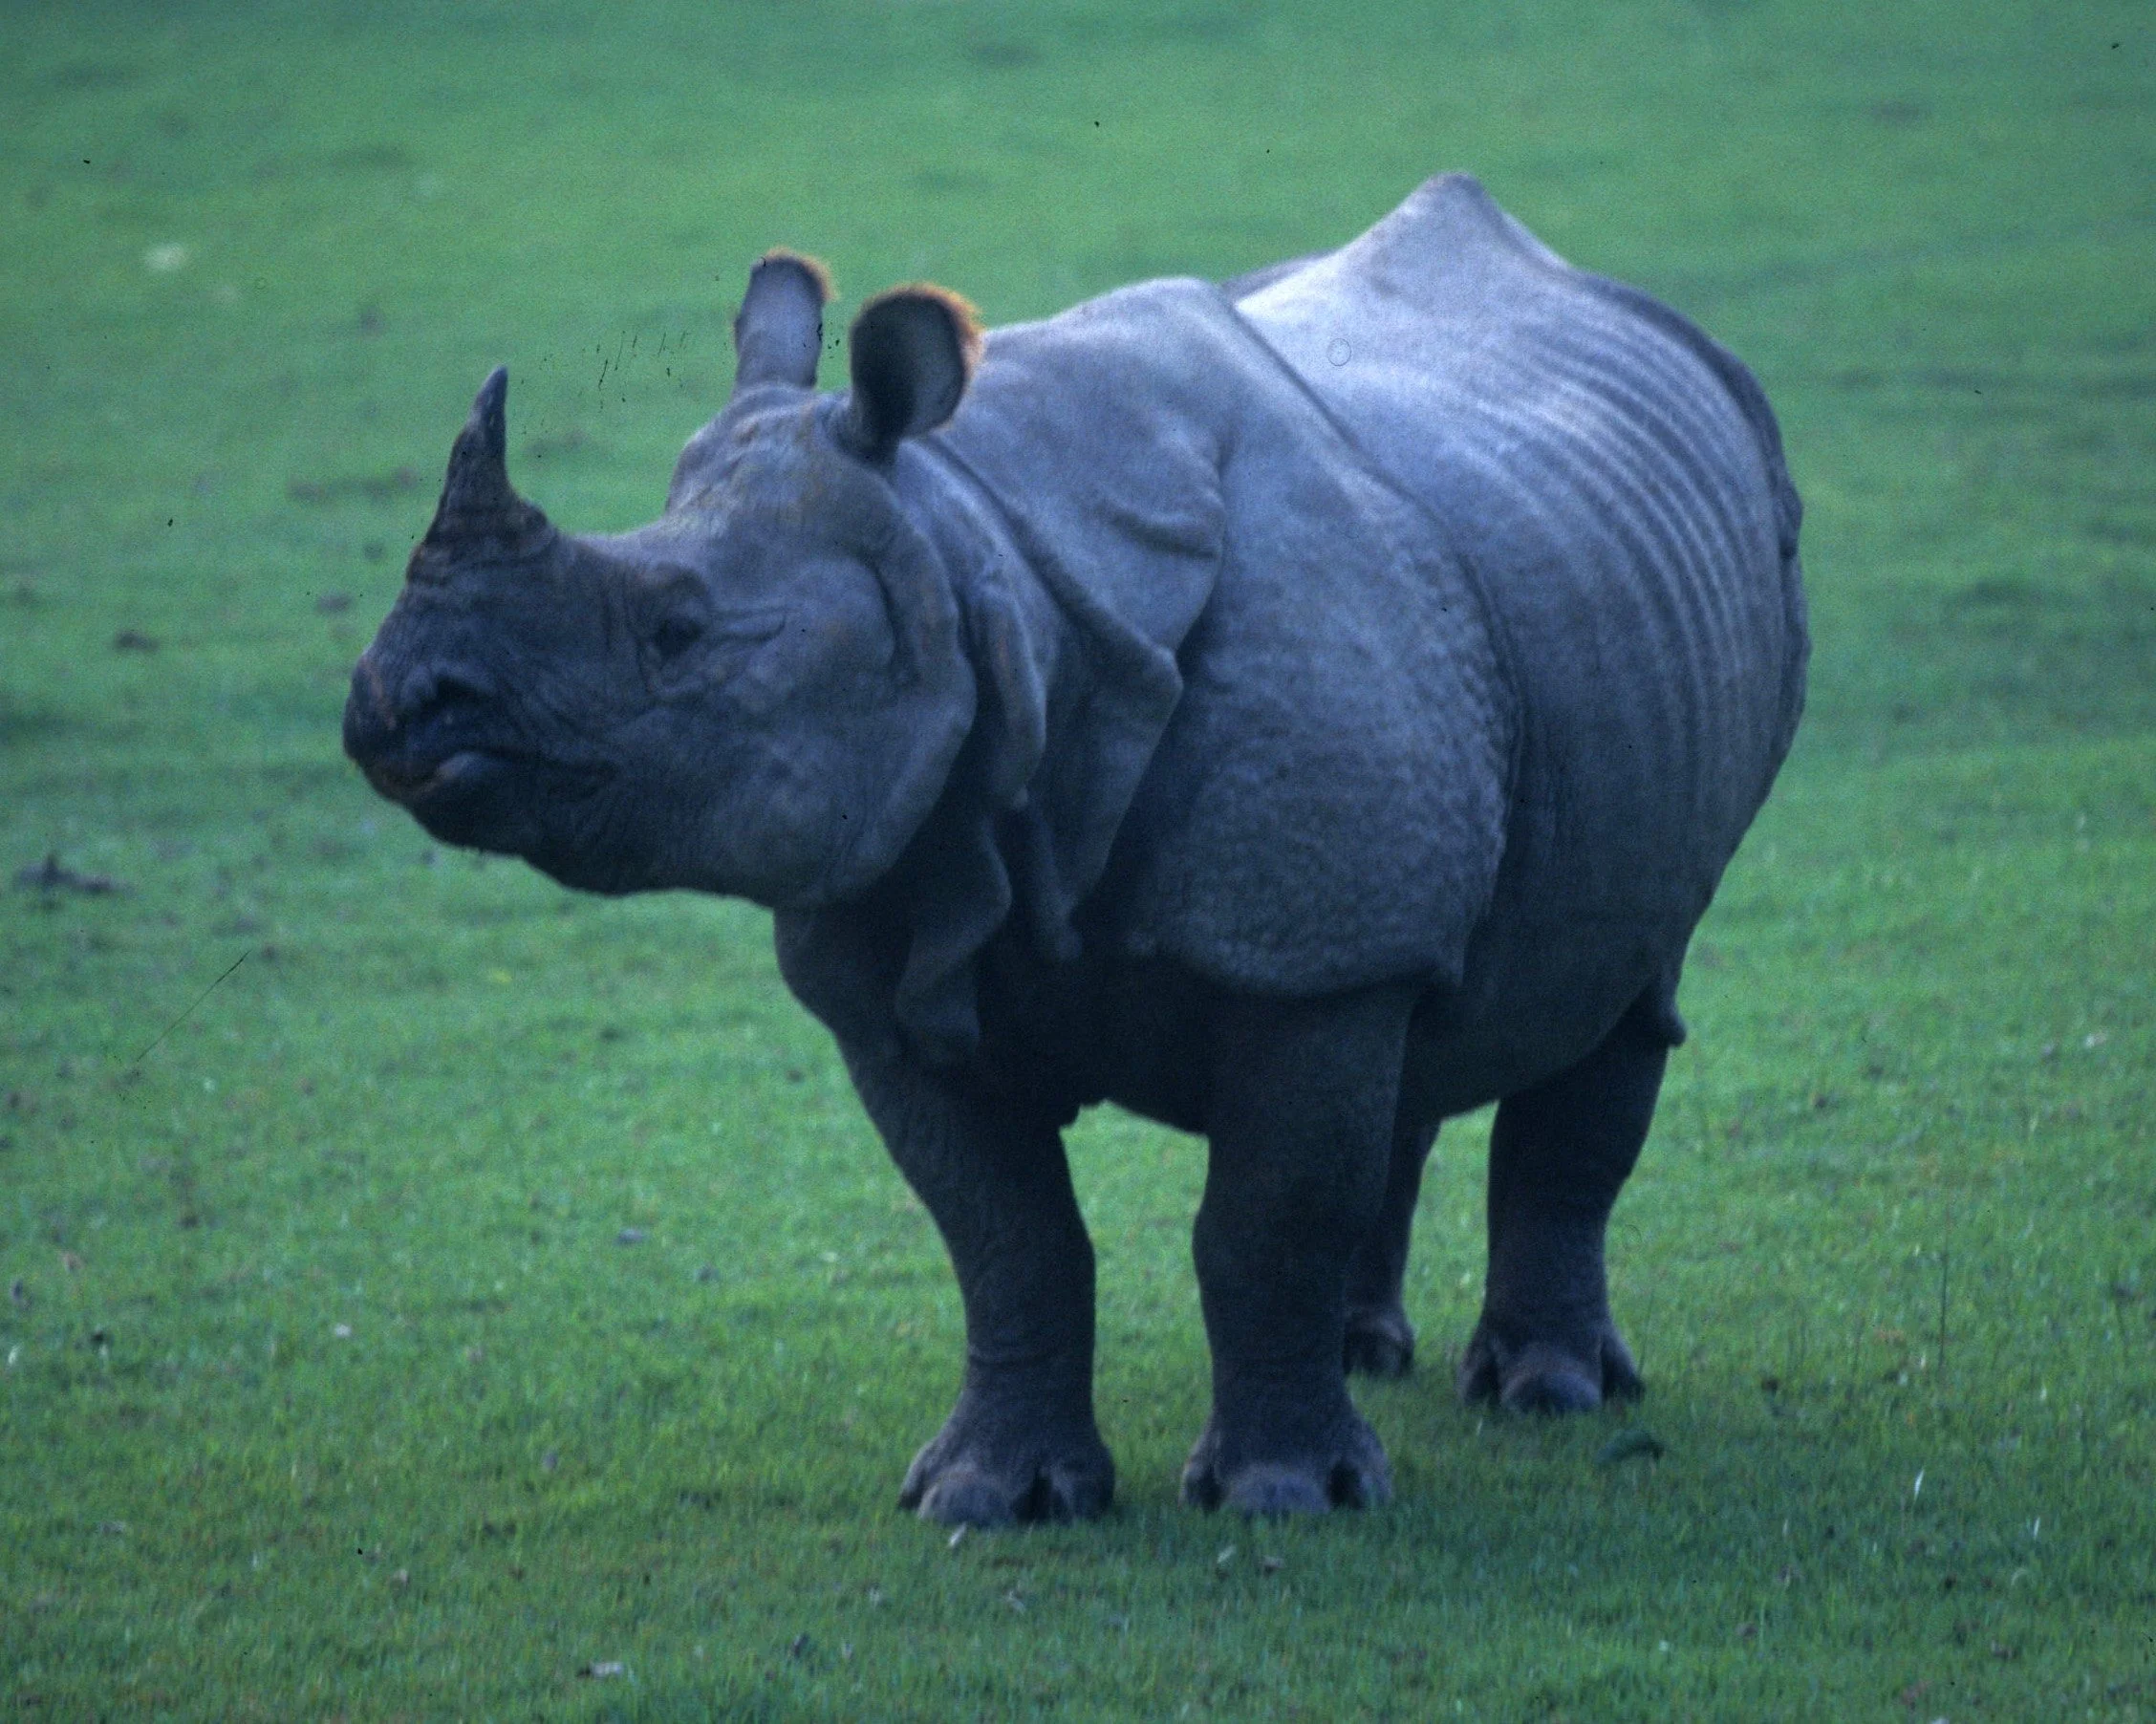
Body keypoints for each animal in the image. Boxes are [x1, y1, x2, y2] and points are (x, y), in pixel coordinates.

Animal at [344, 173, 1806, 1524]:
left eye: (679, 631)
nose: (395, 707)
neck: (980, 564)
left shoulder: (1296, 941)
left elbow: (1262, 1218)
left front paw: (1287, 1498)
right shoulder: (899, 913)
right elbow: (1009, 1237)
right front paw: (990, 1498)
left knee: (1627, 981)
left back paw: (1544, 1394)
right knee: (1422, 1005)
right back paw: (1364, 1358)